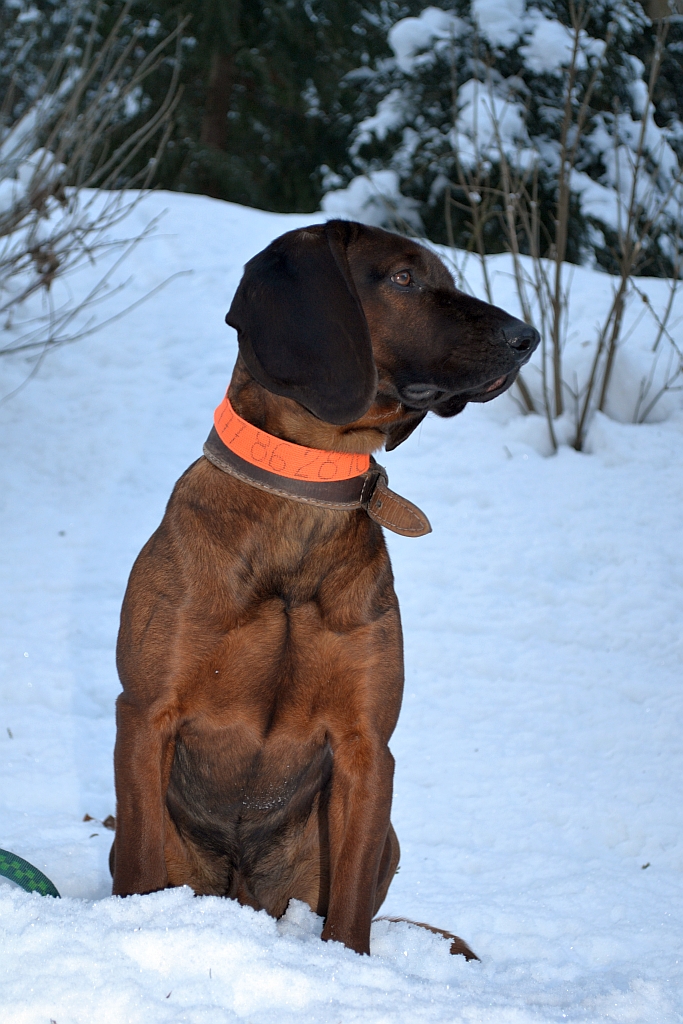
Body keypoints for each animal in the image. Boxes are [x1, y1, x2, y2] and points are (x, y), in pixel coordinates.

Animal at [111, 219, 539, 958]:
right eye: (402, 278)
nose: (528, 336)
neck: (306, 490)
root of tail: (239, 897)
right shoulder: (144, 714)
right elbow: (139, 865)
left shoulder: (366, 748)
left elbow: (351, 911)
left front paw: (347, 967)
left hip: (370, 845)